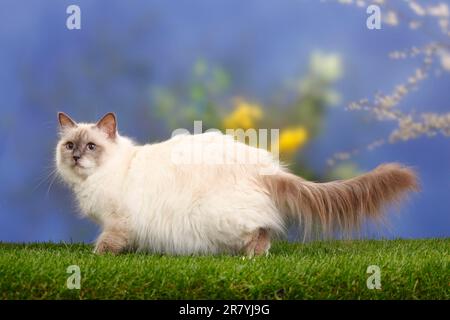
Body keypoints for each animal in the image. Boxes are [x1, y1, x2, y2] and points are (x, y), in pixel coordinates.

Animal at [55, 111, 418, 256]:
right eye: (70, 145)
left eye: (91, 147)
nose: (76, 158)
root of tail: (267, 168)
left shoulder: (119, 221)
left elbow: (106, 243)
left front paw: (96, 256)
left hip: (216, 216)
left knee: (262, 230)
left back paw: (251, 256)